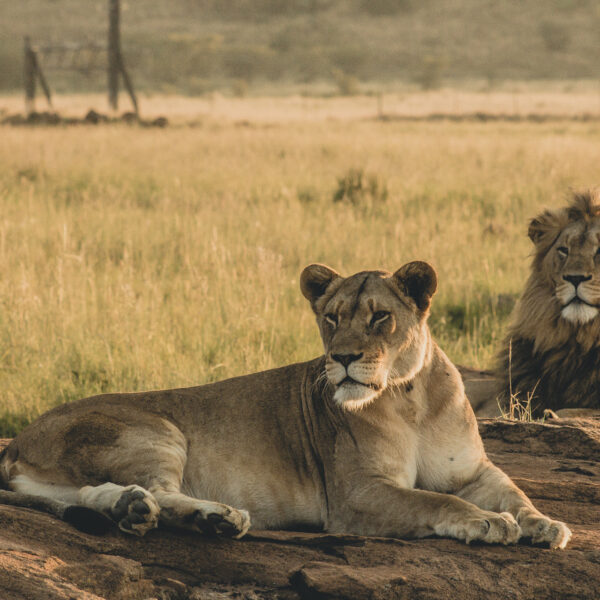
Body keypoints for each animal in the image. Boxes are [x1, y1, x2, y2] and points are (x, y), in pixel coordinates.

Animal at [1, 260, 572, 548]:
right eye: (331, 317)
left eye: (380, 317)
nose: (343, 357)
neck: (410, 398)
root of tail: (19, 439)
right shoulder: (356, 495)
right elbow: (436, 503)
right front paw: (488, 523)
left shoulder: (473, 470)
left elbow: (515, 492)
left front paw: (545, 525)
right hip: (156, 429)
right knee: (160, 491)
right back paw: (215, 517)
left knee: (95, 493)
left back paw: (133, 509)